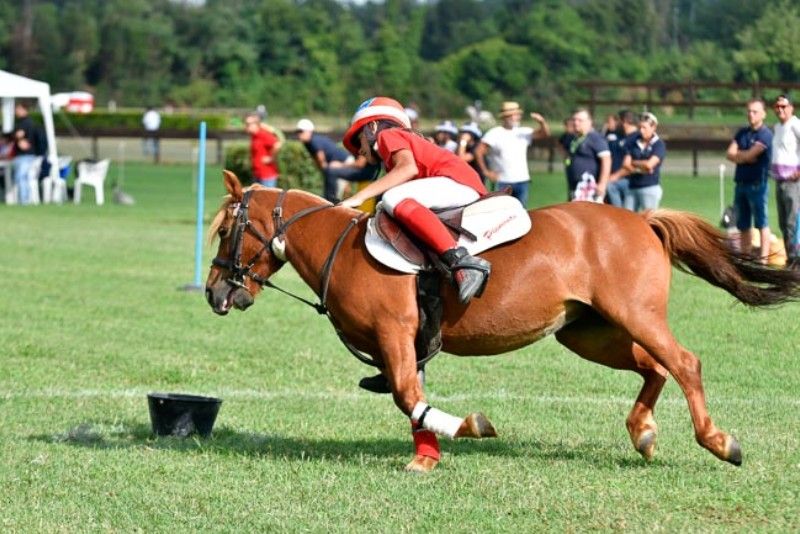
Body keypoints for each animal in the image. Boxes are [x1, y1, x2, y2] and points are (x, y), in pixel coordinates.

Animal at [205, 170, 800, 472]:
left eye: (226, 231)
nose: (214, 292)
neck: (339, 247)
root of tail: (643, 220)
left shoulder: (395, 334)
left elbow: (406, 395)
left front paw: (471, 427)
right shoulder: (402, 345)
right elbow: (411, 399)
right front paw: (427, 457)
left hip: (634, 314)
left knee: (683, 362)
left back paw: (719, 442)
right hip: (587, 331)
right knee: (652, 368)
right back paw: (643, 433)